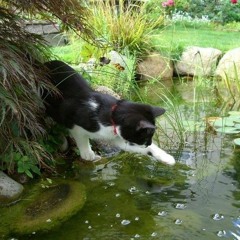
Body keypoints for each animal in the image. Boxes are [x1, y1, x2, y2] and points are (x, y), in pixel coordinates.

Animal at [42, 60, 174, 165]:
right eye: (146, 136)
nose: (149, 143)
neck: (111, 116)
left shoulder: (118, 137)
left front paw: (167, 158)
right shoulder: (75, 123)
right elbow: (81, 136)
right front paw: (87, 153)